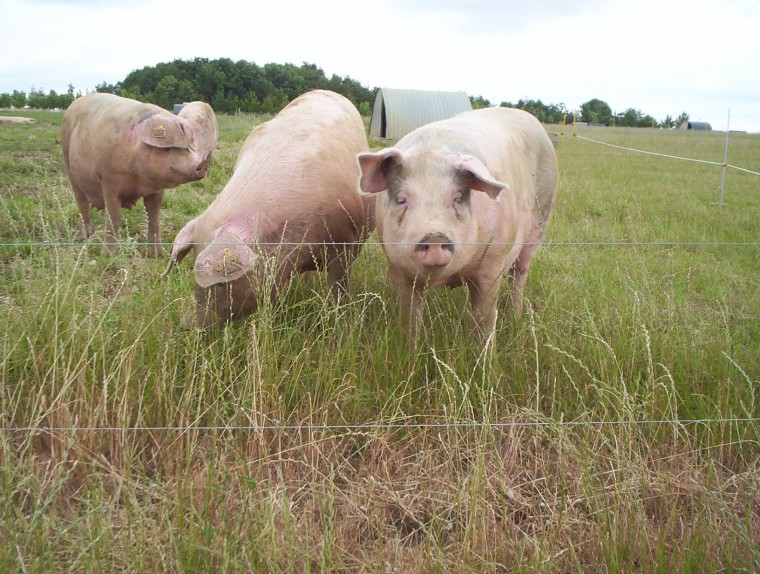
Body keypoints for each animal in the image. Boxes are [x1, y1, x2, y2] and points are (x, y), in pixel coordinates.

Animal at [60, 94, 217, 256]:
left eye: (189, 147)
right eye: (168, 149)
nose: (201, 164)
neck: (138, 177)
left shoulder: (156, 190)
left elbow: (153, 218)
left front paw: (158, 254)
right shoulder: (108, 180)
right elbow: (113, 218)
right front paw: (109, 256)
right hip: (69, 165)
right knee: (82, 205)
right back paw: (88, 237)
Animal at [356, 106, 560, 344]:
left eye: (457, 198)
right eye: (401, 199)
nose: (435, 236)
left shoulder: (493, 265)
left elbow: (484, 320)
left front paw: (485, 353)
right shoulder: (398, 269)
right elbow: (410, 321)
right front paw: (409, 351)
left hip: (541, 217)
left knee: (519, 274)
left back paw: (515, 317)